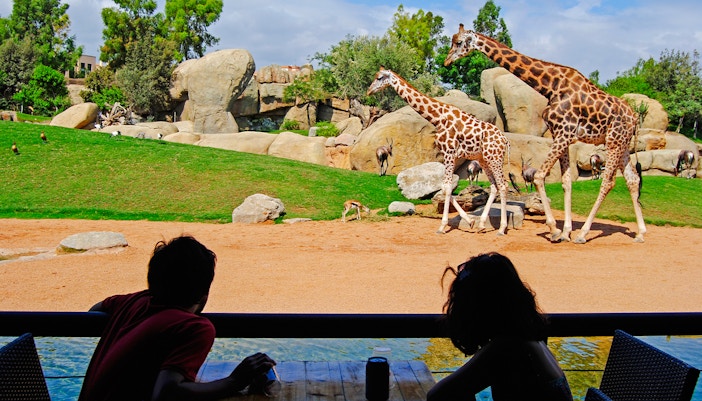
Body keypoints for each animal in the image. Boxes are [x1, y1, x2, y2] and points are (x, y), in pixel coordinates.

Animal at [367, 67, 510, 235]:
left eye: (380, 78)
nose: (369, 91)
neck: (438, 117)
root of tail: (505, 140)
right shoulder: (449, 154)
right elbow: (444, 187)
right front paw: (470, 221)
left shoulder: (449, 152)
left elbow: (447, 187)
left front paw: (442, 226)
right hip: (484, 159)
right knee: (494, 186)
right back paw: (481, 224)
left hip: (495, 158)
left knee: (503, 185)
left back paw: (501, 228)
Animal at [445, 24, 646, 244]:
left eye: (458, 42)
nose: (447, 61)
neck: (551, 86)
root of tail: (634, 119)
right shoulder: (563, 136)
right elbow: (566, 182)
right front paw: (565, 231)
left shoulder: (564, 133)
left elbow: (540, 176)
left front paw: (555, 230)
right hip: (623, 144)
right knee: (633, 180)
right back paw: (640, 233)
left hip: (613, 141)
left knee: (608, 182)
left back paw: (583, 234)